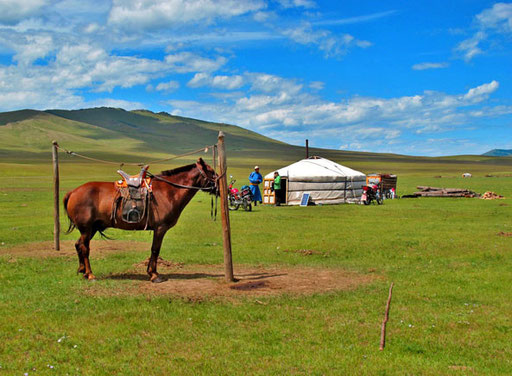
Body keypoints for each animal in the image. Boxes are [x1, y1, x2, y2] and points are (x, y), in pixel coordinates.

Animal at [63, 157, 217, 284]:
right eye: (211, 172)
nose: (220, 186)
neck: (169, 191)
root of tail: (73, 192)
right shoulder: (160, 228)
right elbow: (155, 249)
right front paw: (154, 275)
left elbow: (155, 250)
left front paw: (152, 273)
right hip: (86, 228)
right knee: (85, 248)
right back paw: (90, 275)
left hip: (92, 229)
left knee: (78, 244)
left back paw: (82, 271)